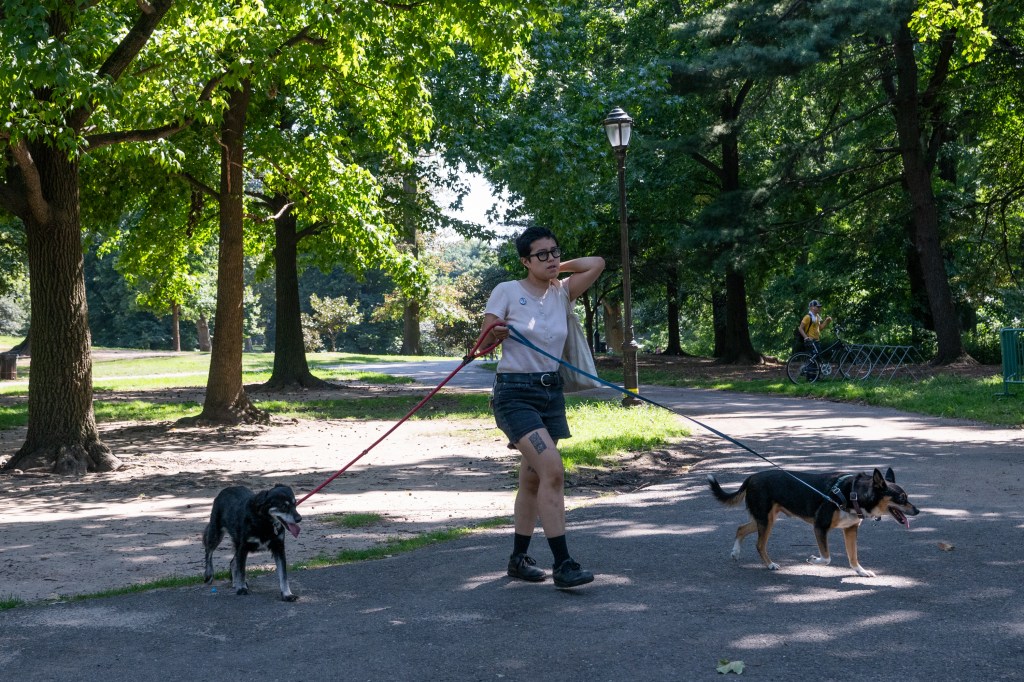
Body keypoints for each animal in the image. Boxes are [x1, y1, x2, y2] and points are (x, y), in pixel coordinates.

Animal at [704, 466, 921, 573]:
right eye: (902, 498)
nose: (918, 510)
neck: (853, 494)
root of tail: (751, 478)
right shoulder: (820, 527)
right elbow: (827, 558)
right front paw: (813, 560)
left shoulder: (850, 530)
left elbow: (853, 557)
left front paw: (860, 571)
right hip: (765, 520)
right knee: (759, 544)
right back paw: (770, 564)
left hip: (765, 519)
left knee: (740, 528)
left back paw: (735, 552)